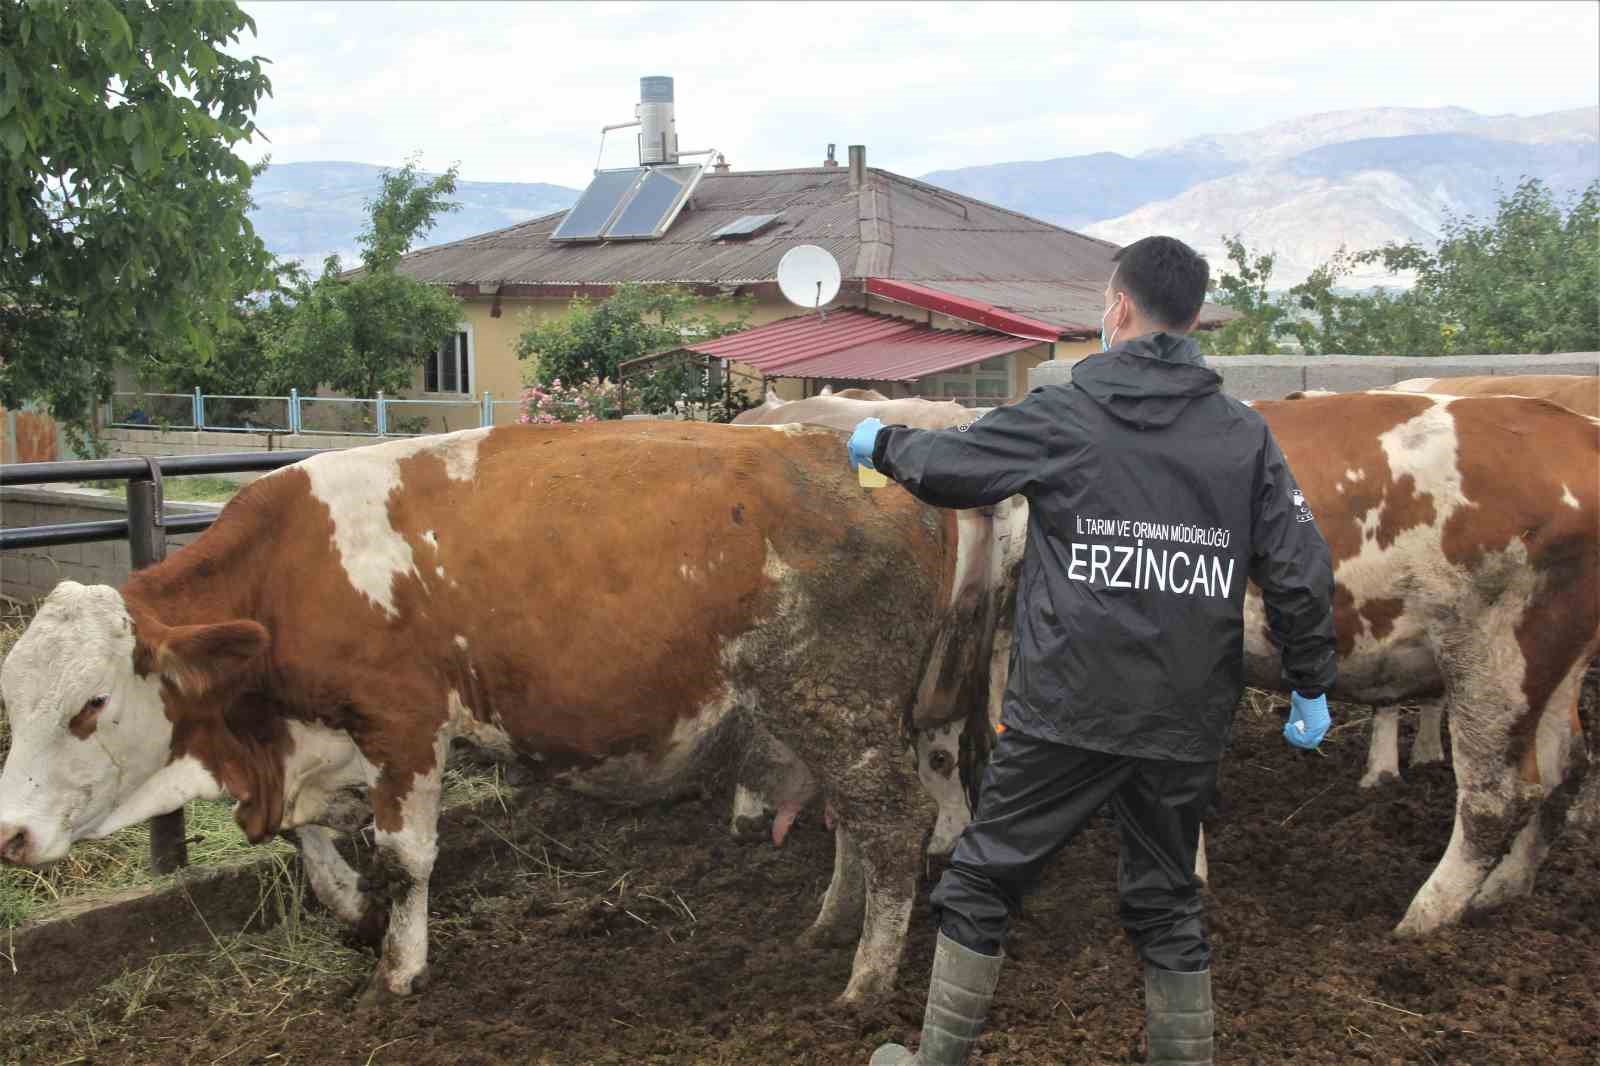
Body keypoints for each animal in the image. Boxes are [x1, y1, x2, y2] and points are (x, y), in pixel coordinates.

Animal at [0, 422, 992, 998]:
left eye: (90, 705)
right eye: (13, 704)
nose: (10, 835)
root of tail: (857, 462)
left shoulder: (403, 726)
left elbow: (405, 858)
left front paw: (400, 971)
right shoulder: (317, 743)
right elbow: (307, 845)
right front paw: (353, 912)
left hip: (837, 702)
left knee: (895, 822)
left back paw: (865, 981)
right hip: (834, 718)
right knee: (855, 822)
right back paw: (831, 927)